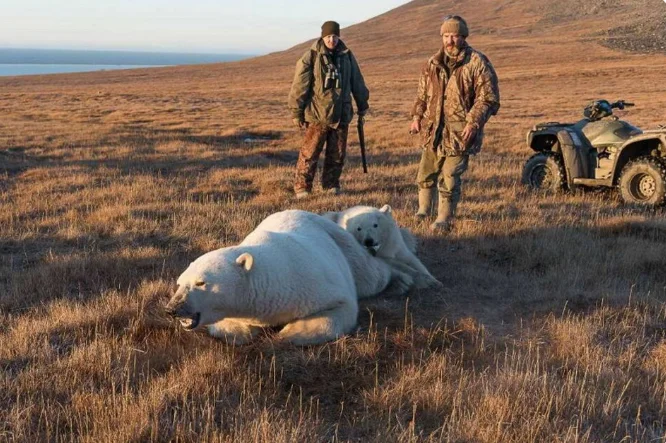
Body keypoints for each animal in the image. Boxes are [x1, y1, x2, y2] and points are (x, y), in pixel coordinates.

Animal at [165, 210, 414, 346]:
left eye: (200, 282)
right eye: (179, 283)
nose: (172, 309)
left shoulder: (311, 281)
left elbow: (340, 309)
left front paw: (289, 333)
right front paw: (240, 331)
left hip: (342, 244)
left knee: (371, 274)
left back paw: (403, 280)